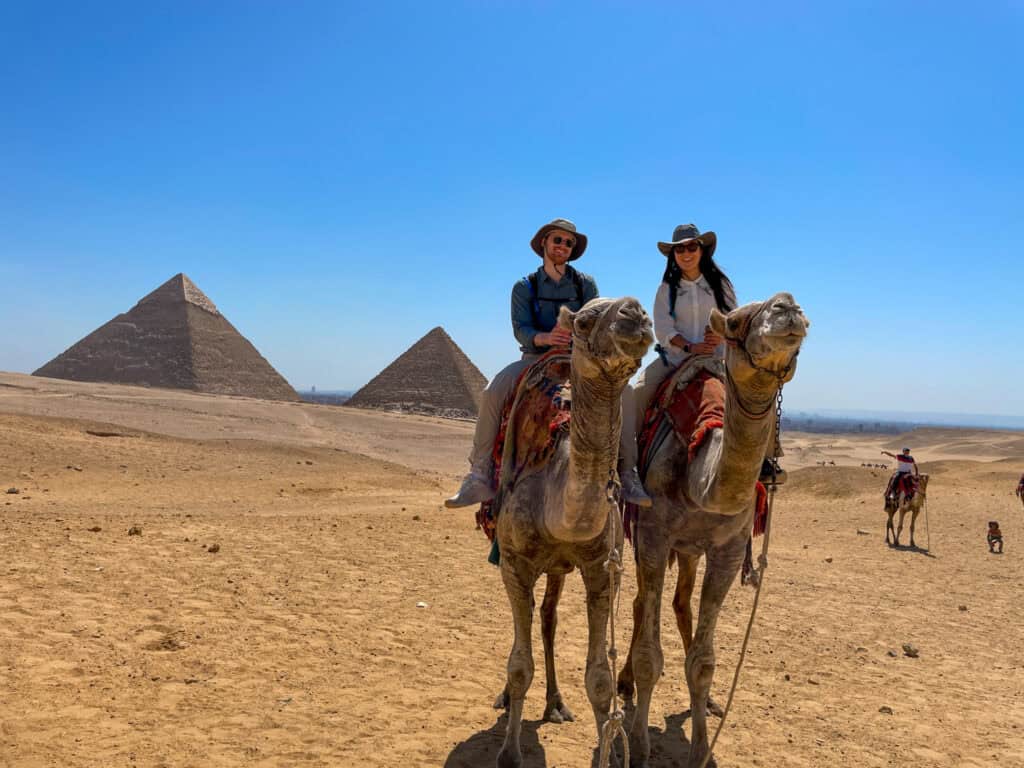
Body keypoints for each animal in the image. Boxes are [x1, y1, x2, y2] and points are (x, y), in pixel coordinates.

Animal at [491, 296, 651, 768]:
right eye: (582, 323)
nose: (634, 313)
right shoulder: (514, 564)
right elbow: (518, 665)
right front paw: (509, 753)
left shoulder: (602, 570)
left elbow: (599, 678)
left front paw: (610, 755)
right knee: (529, 624)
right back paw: (508, 700)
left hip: (560, 569)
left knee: (548, 618)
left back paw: (556, 704)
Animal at [614, 292, 806, 768]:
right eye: (736, 321)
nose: (787, 307)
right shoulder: (653, 536)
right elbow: (650, 656)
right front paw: (640, 745)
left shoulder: (728, 549)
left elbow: (703, 663)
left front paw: (702, 748)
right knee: (642, 604)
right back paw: (624, 682)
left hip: (690, 549)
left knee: (679, 602)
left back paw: (711, 701)